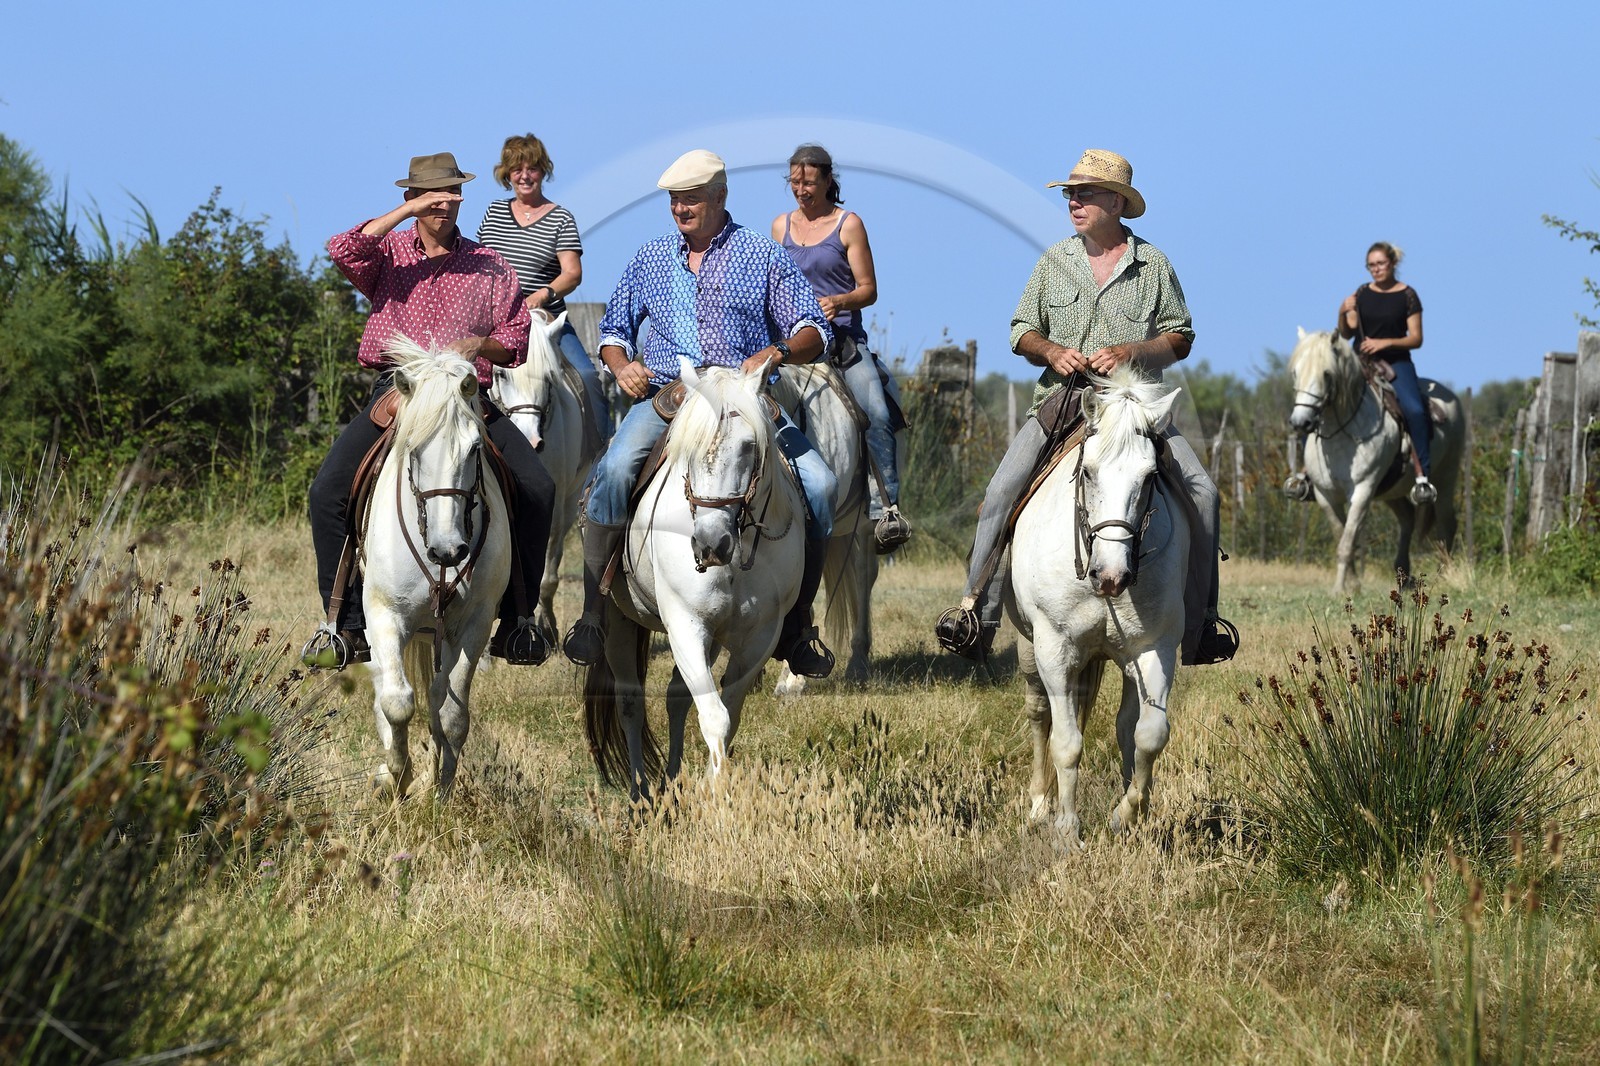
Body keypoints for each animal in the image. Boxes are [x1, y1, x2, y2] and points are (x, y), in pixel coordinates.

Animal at [361, 340, 511, 801]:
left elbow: (451, 714)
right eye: (412, 448)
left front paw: (440, 792)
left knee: (437, 693)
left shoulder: (475, 624)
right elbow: (396, 702)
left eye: (475, 448)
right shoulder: (385, 614)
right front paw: (396, 775)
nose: (449, 550)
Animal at [489, 311, 599, 646]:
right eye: (501, 375)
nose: (530, 440)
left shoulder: (556, 500)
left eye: (550, 378)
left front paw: (542, 627)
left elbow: (547, 567)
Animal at [583, 360, 805, 802]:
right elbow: (715, 716)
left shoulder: (758, 638)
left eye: (749, 446)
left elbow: (728, 713)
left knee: (676, 697)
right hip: (618, 620)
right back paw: (639, 793)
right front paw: (718, 797)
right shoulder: (685, 625)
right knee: (630, 700)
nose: (710, 544)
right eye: (688, 450)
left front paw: (711, 787)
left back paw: (671, 781)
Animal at [1007, 366, 1188, 848]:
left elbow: (1149, 735)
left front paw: (1125, 815)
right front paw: (1067, 830)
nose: (1112, 575)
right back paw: (1039, 805)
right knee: (1039, 715)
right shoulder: (1054, 650)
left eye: (1150, 476)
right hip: (1029, 652)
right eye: (1086, 472)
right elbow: (1066, 740)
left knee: (1125, 726)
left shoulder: (1154, 649)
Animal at [1287, 328, 1463, 593]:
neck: (1342, 434)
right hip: (1391, 490)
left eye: (1327, 373)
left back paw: (1444, 576)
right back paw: (1403, 575)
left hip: (1445, 480)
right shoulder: (1325, 495)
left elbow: (1348, 541)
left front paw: (1339, 589)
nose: (1301, 422)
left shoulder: (1363, 490)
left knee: (1446, 525)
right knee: (1408, 517)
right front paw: (1352, 584)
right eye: (1296, 372)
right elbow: (1341, 535)